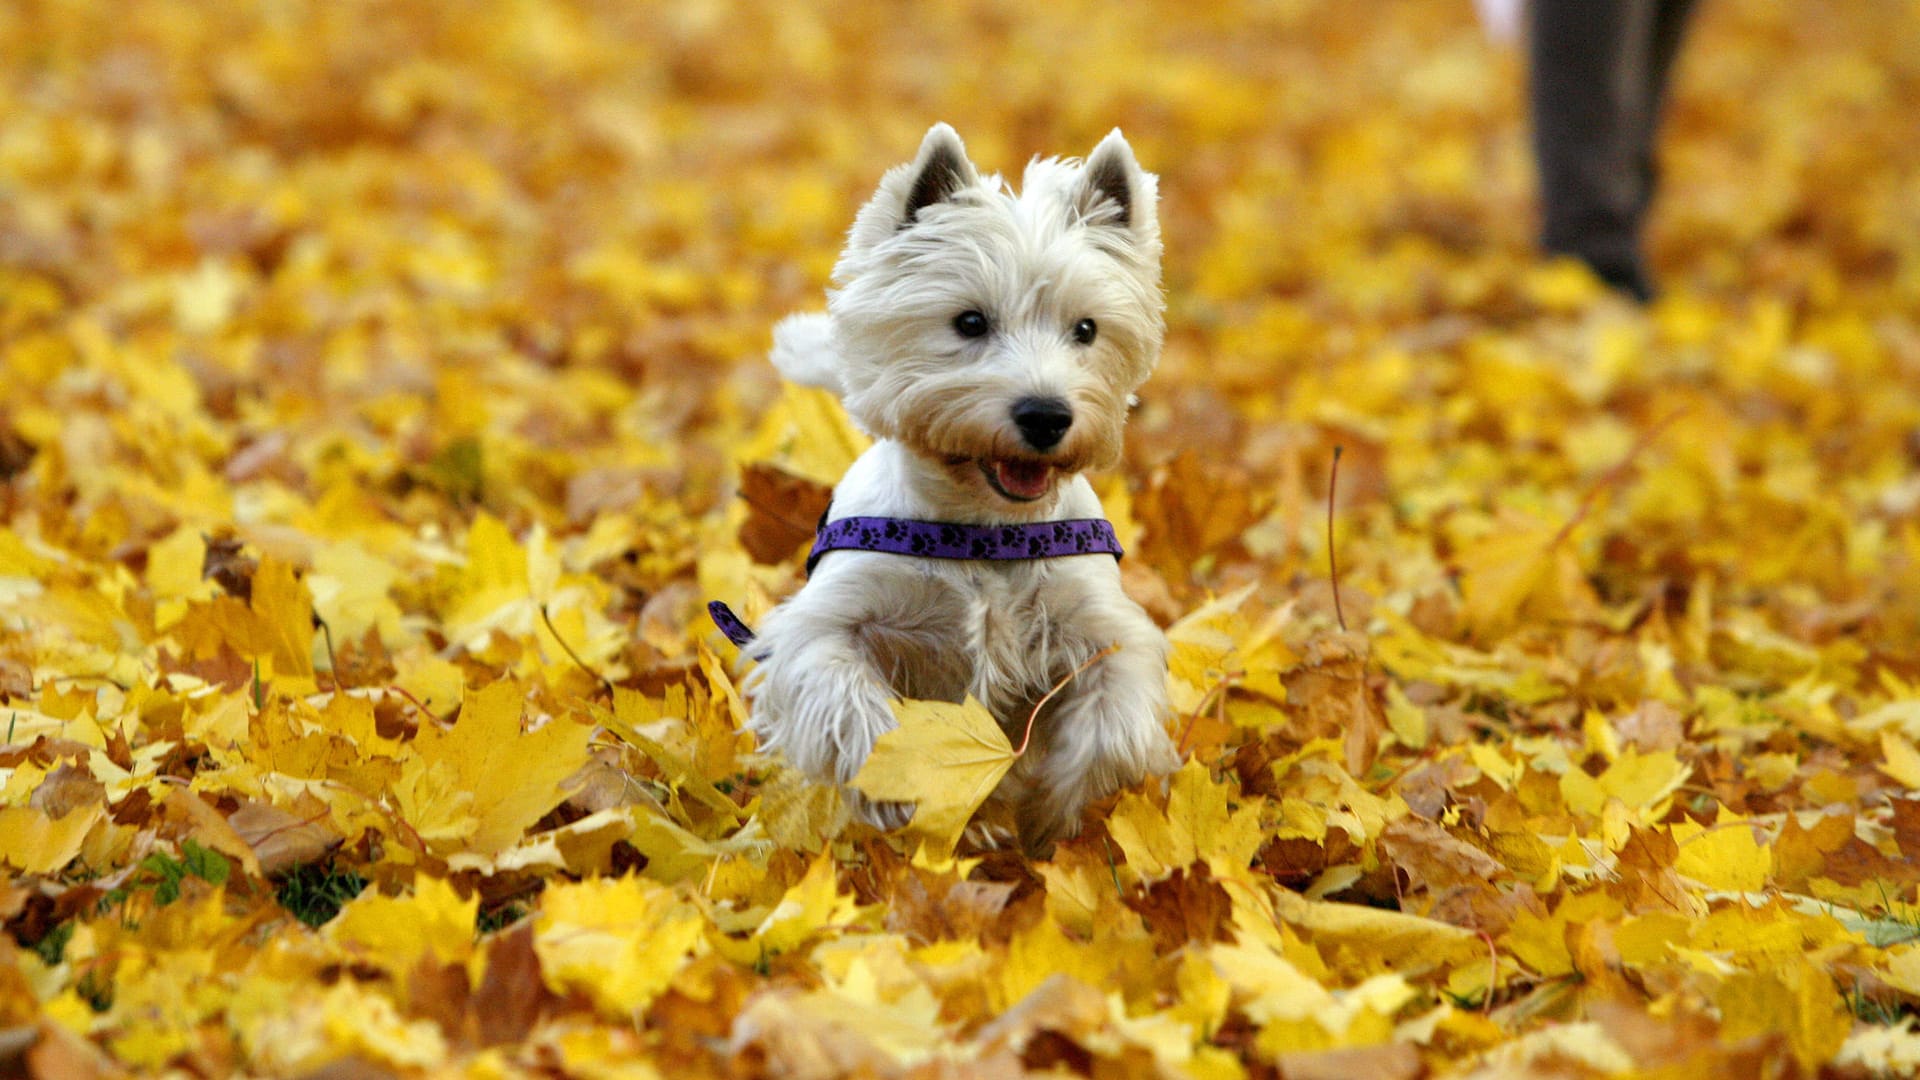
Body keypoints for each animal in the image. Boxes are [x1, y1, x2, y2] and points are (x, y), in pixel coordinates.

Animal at [741, 123, 1175, 849]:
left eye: (1086, 328)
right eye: (969, 322)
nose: (1046, 415)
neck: (983, 531)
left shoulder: (1100, 629)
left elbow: (1112, 724)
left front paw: (1049, 817)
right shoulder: (827, 623)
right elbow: (856, 705)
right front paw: (917, 795)